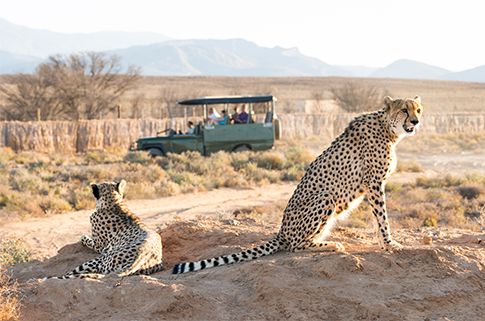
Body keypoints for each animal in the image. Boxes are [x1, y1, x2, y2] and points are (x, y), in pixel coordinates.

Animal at [172, 95, 422, 272]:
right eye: (404, 110)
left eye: (418, 110)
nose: (416, 121)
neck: (388, 129)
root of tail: (281, 231)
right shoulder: (375, 183)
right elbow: (382, 218)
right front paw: (389, 244)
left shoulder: (374, 184)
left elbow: (377, 218)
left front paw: (383, 244)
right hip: (325, 198)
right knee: (295, 245)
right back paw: (331, 245)